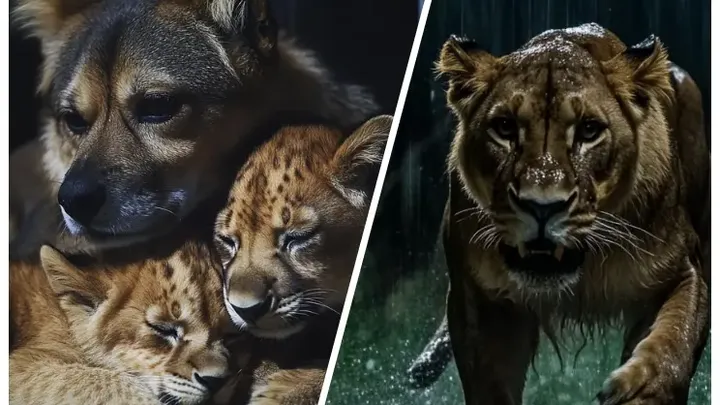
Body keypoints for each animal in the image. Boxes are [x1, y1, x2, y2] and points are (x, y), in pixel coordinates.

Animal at [422, 23, 709, 405]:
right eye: (504, 127)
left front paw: (634, 389)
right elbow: (490, 383)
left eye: (589, 130)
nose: (542, 207)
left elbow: (672, 347)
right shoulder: (481, 300)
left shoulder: (684, 270)